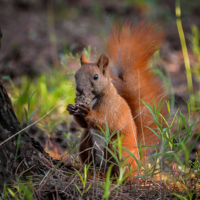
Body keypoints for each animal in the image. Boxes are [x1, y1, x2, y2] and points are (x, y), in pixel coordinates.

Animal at [67, 21, 167, 176]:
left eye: (96, 76)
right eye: (75, 75)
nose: (79, 90)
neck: (94, 99)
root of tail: (138, 161)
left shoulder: (111, 108)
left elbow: (104, 121)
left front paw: (87, 112)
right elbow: (84, 124)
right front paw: (72, 108)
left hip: (117, 146)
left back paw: (116, 176)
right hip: (85, 142)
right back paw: (87, 169)